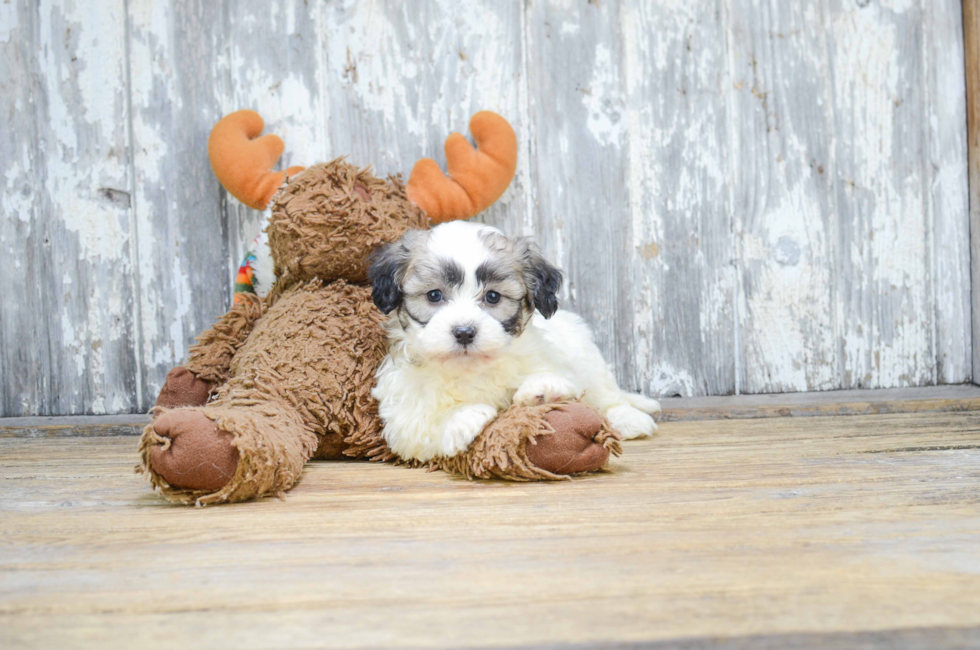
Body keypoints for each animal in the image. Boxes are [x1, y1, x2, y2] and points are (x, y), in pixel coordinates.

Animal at [368, 223, 660, 460]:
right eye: (434, 295)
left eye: (493, 297)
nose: (464, 332)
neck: (471, 368)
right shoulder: (402, 413)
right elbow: (421, 424)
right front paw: (464, 416)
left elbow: (562, 378)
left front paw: (543, 388)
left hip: (583, 349)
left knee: (605, 391)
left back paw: (628, 418)